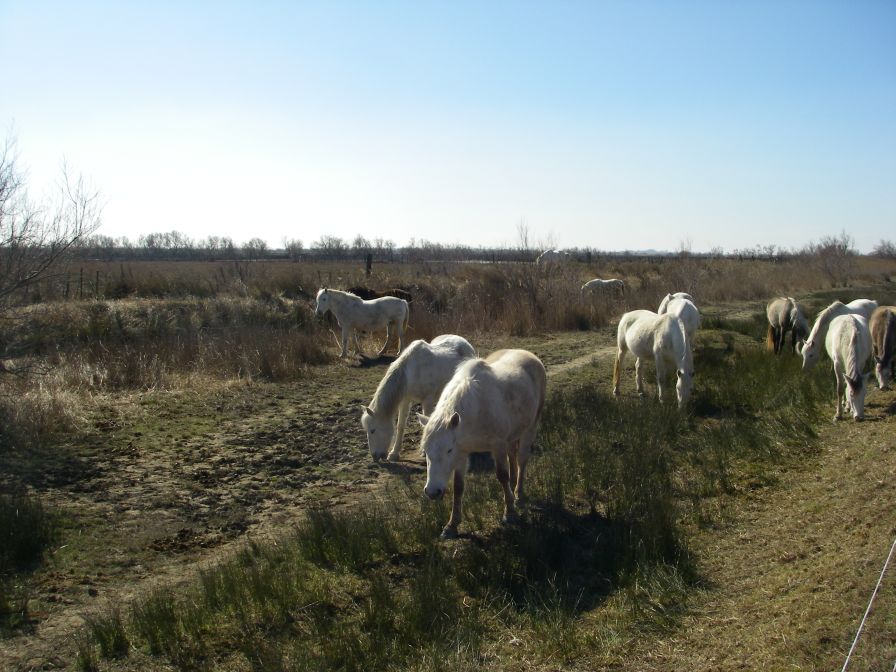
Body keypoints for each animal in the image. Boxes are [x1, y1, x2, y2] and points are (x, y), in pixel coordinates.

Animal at [418, 350, 544, 540]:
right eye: (425, 451)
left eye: (448, 450)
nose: (432, 492)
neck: (475, 411)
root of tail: (529, 354)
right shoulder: (462, 452)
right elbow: (458, 487)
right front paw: (451, 525)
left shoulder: (497, 446)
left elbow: (502, 476)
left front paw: (510, 513)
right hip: (512, 436)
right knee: (513, 457)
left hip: (530, 427)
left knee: (522, 459)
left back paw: (519, 495)